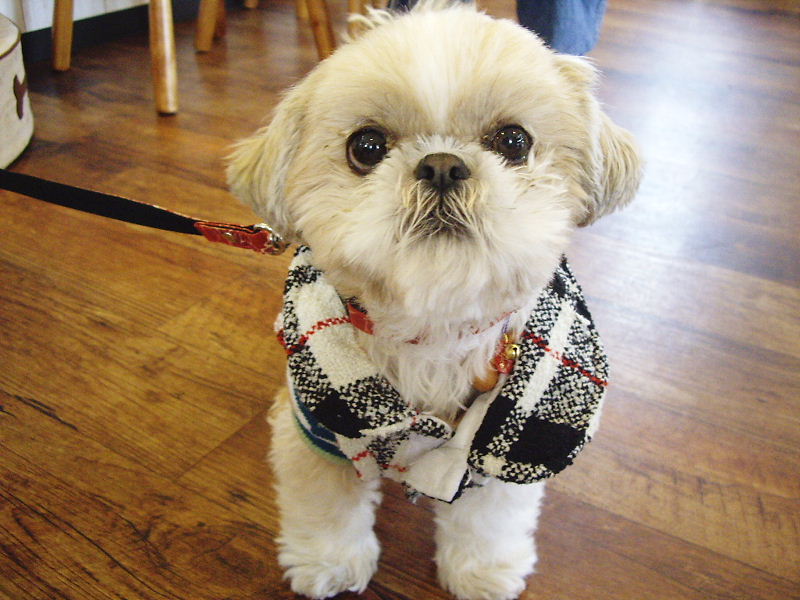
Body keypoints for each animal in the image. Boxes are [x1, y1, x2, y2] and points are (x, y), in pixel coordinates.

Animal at [227, 2, 640, 599]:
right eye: (366, 147)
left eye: (514, 141)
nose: (442, 164)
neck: (432, 332)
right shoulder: (315, 434)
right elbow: (326, 507)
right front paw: (329, 562)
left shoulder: (501, 452)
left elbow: (488, 518)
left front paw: (482, 571)